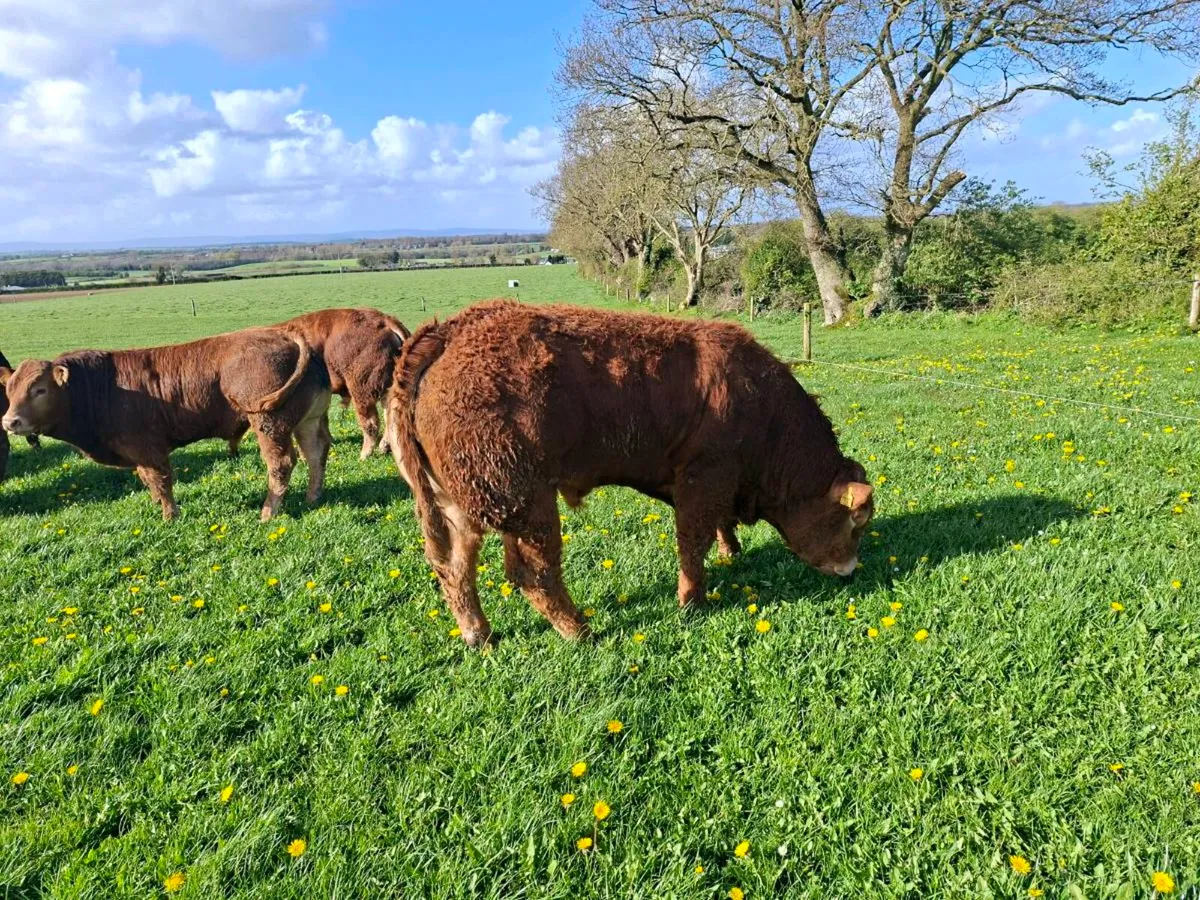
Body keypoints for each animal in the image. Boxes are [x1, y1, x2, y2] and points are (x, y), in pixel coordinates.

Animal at [228, 308, 409, 461]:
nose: (233, 454)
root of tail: (384, 320)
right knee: (390, 414)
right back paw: (384, 447)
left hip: (361, 388)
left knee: (371, 422)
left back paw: (364, 455)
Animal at [388, 300, 874, 648]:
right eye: (854, 523)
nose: (851, 571)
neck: (761, 408)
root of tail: (450, 331)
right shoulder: (703, 478)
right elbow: (691, 544)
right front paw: (692, 601)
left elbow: (719, 527)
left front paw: (730, 551)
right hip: (523, 502)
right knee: (534, 574)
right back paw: (579, 631)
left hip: (459, 506)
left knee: (454, 568)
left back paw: (480, 635)